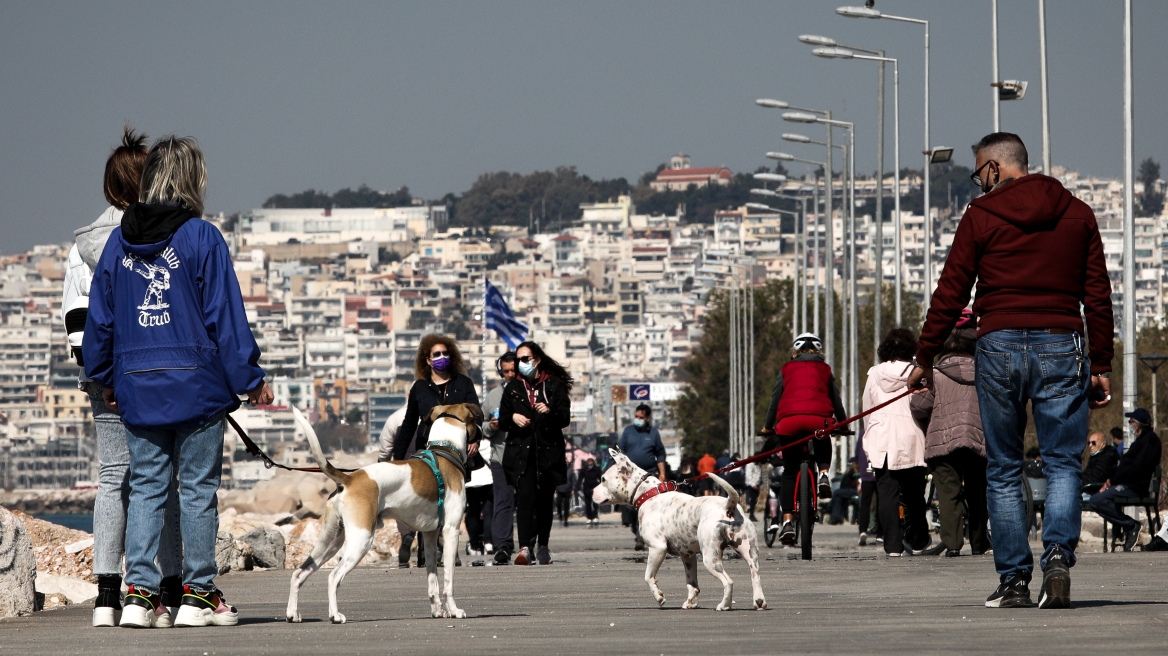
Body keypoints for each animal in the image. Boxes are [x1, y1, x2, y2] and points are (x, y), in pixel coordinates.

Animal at [284, 401, 481, 620]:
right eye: (476, 420)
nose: (483, 432)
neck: (444, 449)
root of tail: (349, 479)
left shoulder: (430, 535)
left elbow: (433, 580)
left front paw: (437, 610)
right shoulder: (451, 530)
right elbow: (448, 582)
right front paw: (454, 610)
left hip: (329, 542)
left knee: (299, 573)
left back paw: (293, 613)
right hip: (361, 540)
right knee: (333, 577)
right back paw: (335, 615)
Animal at [593, 445, 766, 611]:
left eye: (603, 479)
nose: (591, 491)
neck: (649, 494)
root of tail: (728, 507)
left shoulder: (657, 548)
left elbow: (648, 576)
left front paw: (659, 597)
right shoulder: (687, 556)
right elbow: (692, 582)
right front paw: (691, 602)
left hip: (710, 558)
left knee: (728, 581)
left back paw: (724, 605)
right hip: (749, 551)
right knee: (755, 574)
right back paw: (759, 602)